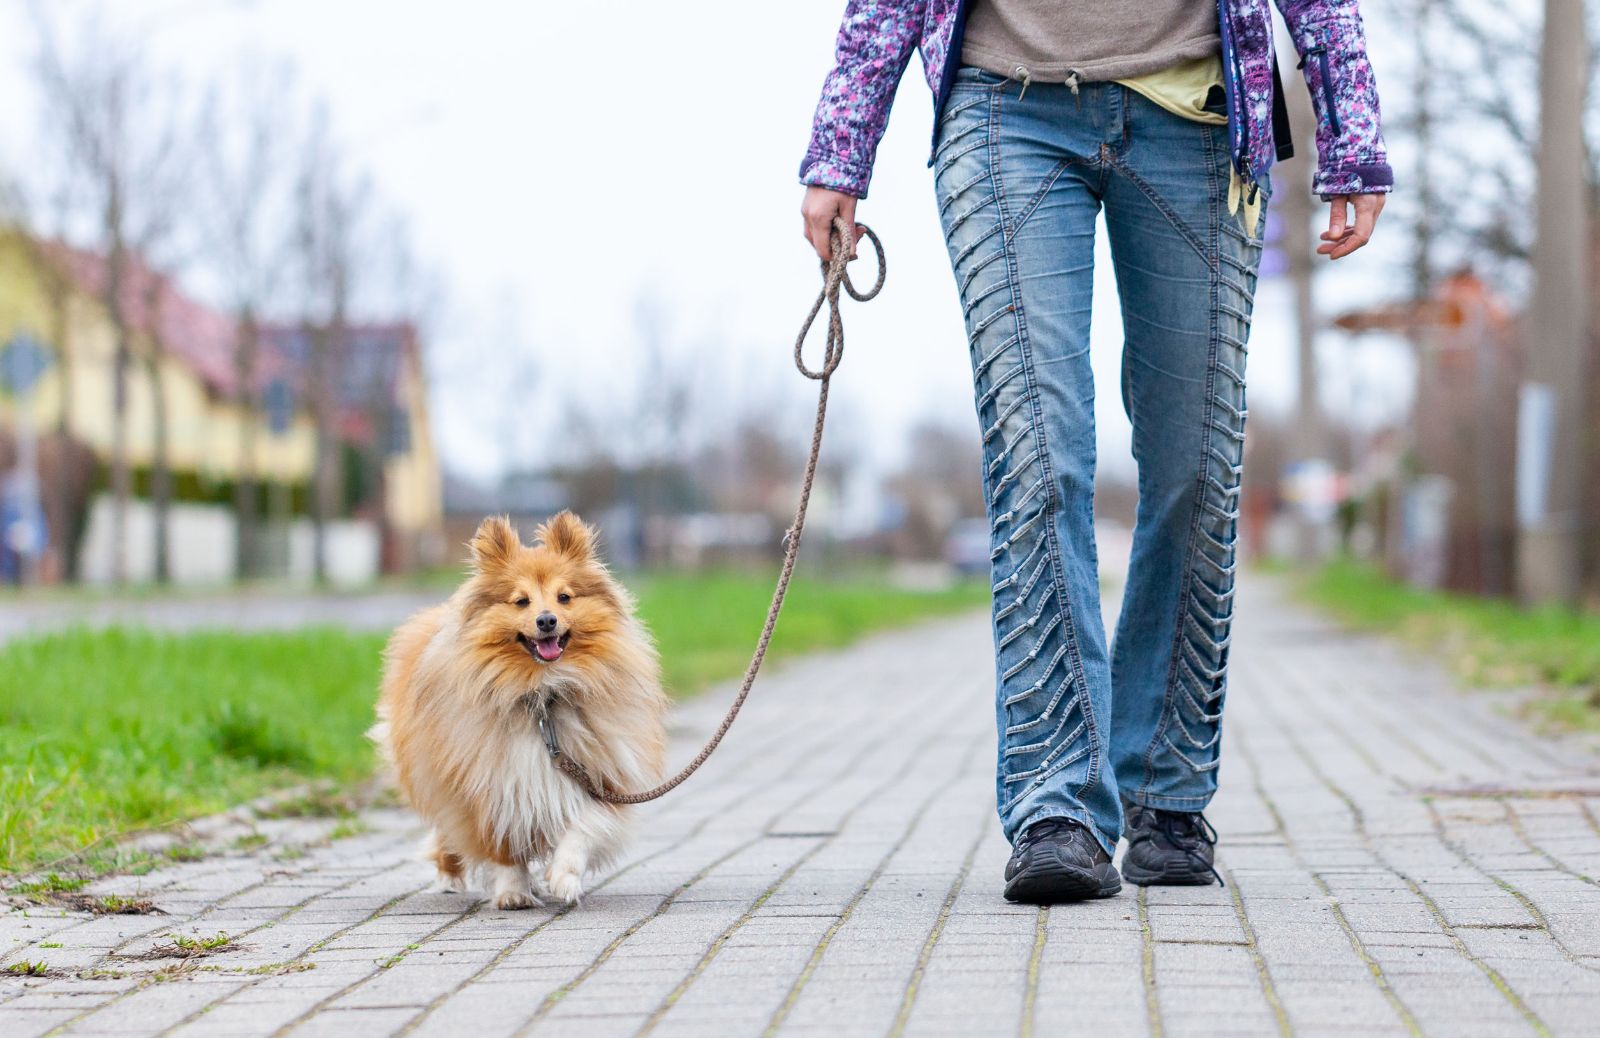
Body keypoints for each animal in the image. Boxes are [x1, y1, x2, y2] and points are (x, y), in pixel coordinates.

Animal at [371, 511, 665, 908]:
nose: (547, 620)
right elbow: (503, 847)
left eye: (564, 597)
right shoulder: (488, 783)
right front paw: (513, 893)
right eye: (521, 601)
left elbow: (584, 828)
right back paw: (450, 877)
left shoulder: (600, 777)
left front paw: (563, 877)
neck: (543, 696)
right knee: (447, 834)